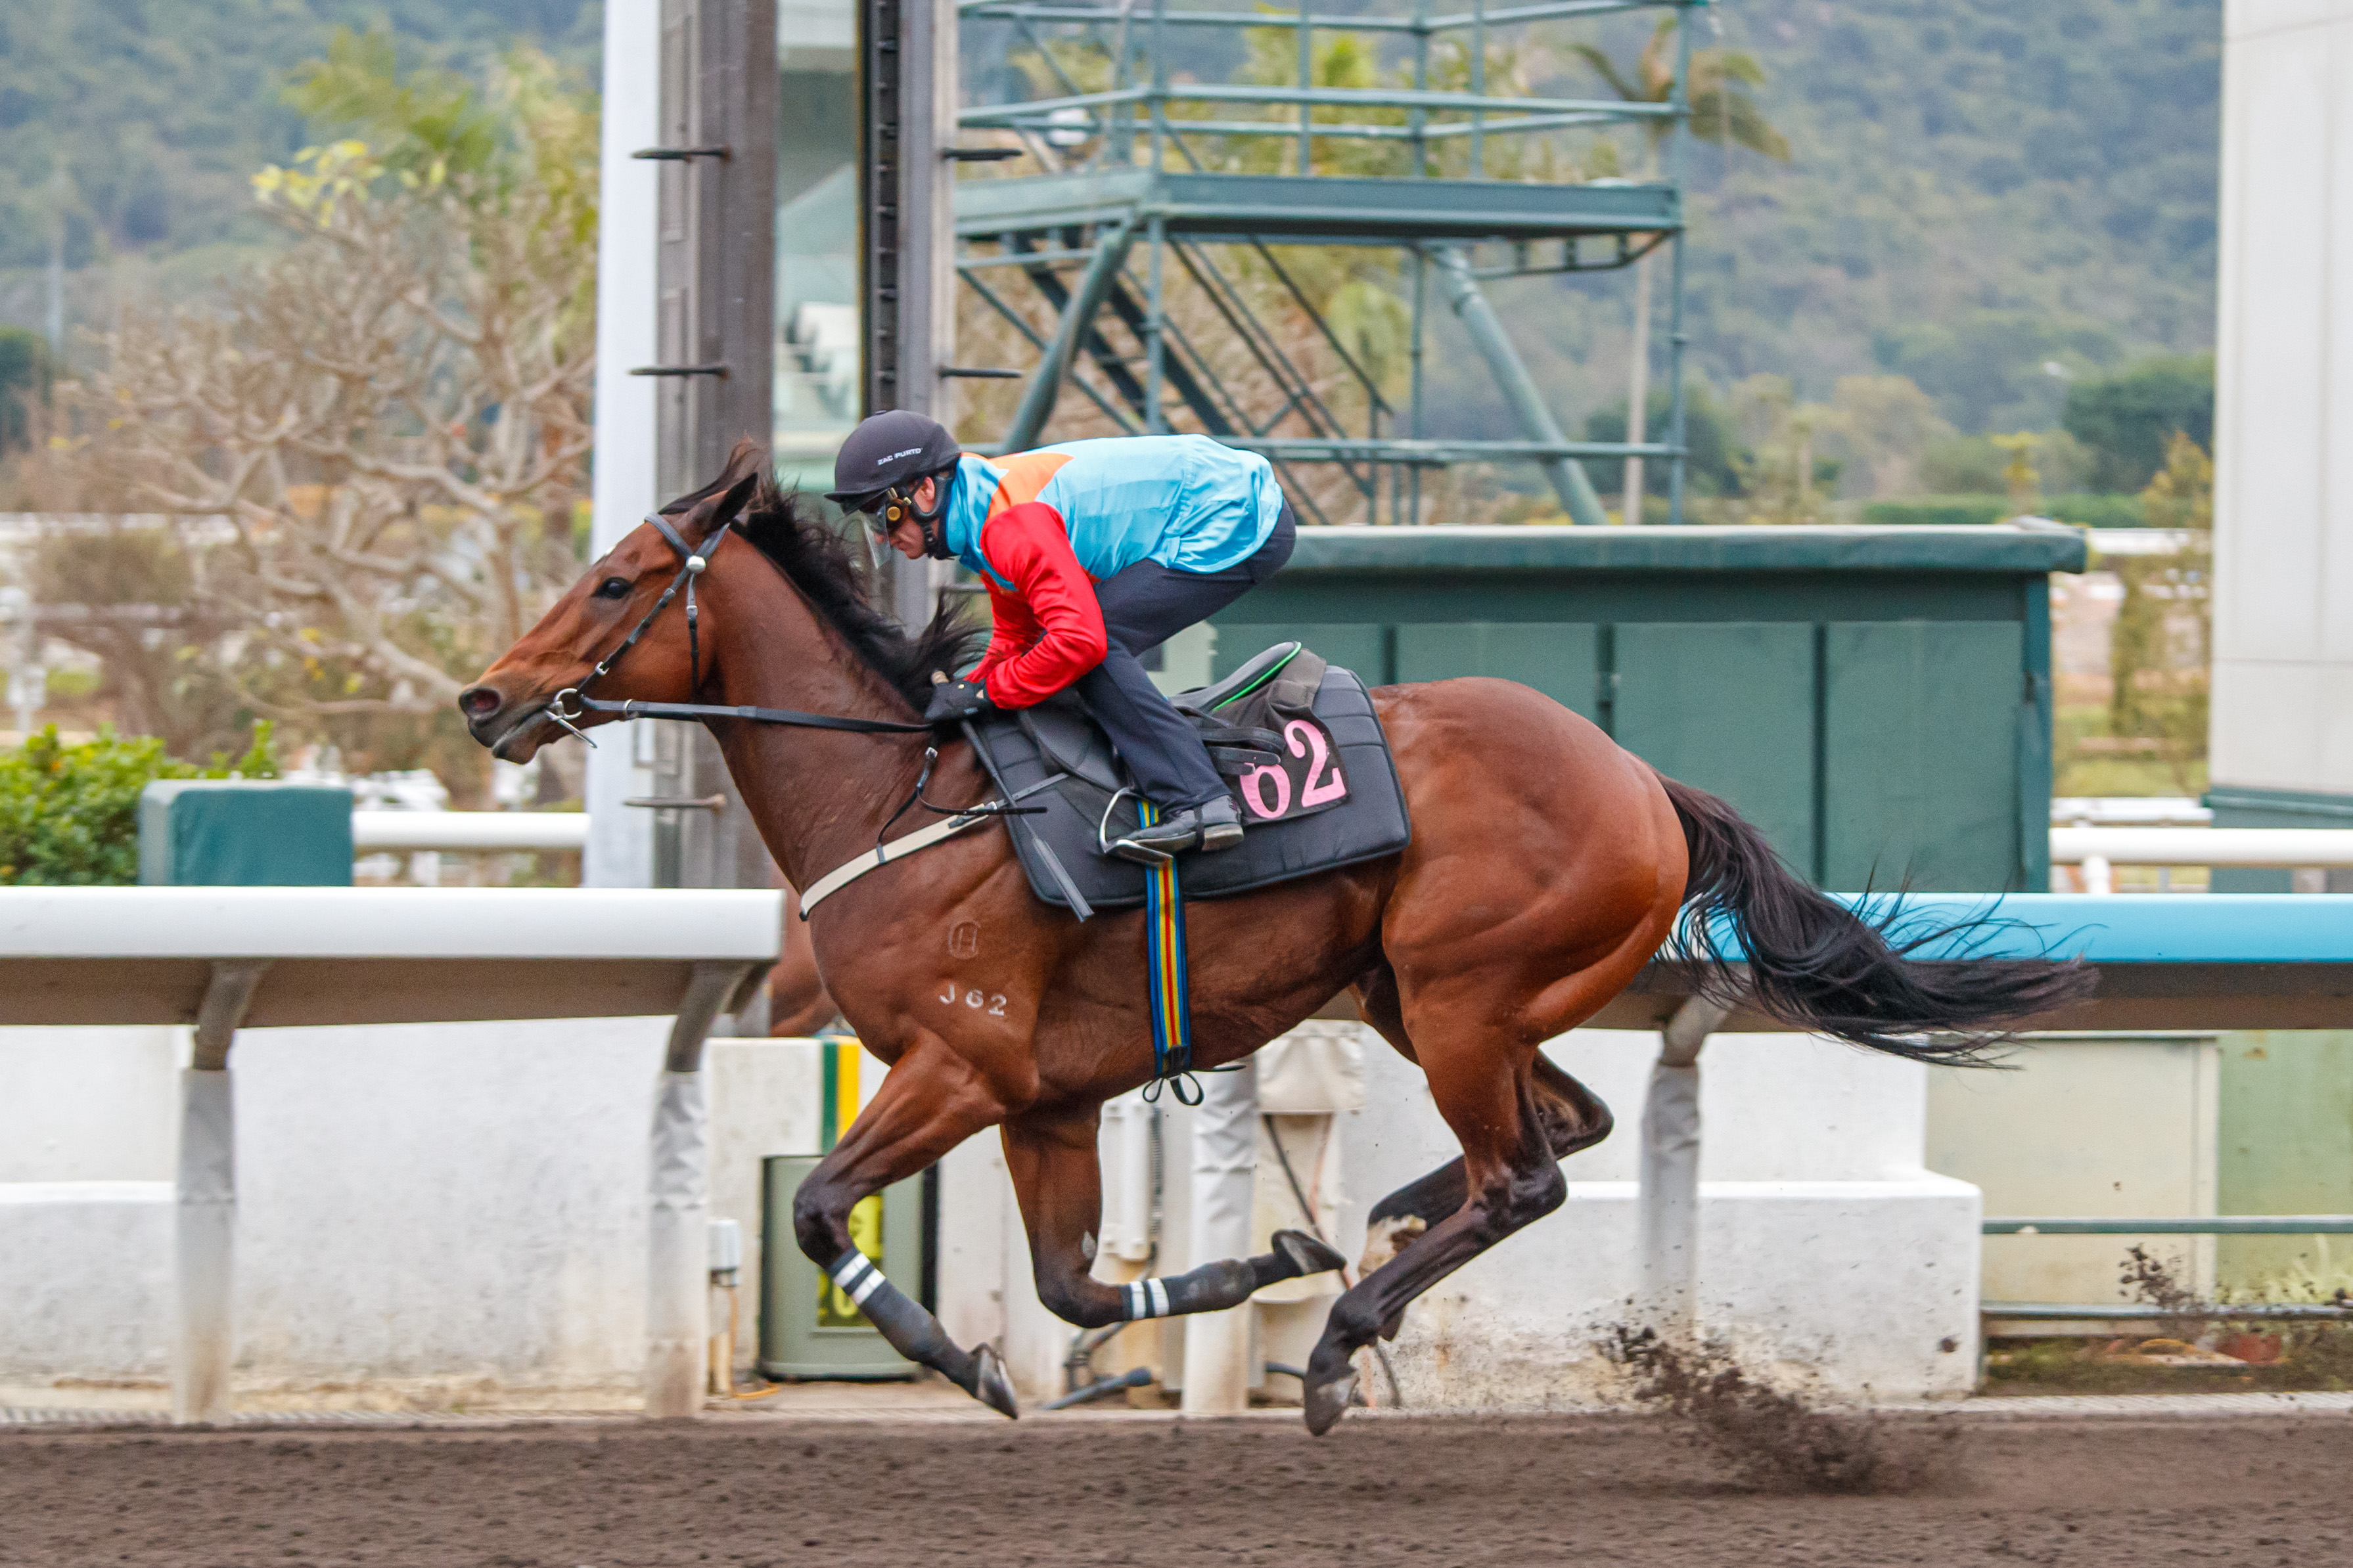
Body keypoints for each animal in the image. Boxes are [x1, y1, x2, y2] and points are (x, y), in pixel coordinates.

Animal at [458, 443, 2086, 1433]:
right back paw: (1378, 1231)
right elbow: (1070, 1285)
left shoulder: (958, 1065)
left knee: (1526, 1174)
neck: (899, 792)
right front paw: (1246, 1263)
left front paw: (965, 1360)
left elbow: (815, 1209)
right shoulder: (1044, 1098)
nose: (486, 699)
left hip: (1456, 991)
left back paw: (1340, 1336)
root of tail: (1643, 780)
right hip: (1424, 997)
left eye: (614, 581)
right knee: (1559, 1130)